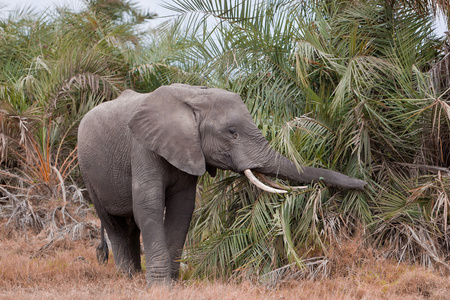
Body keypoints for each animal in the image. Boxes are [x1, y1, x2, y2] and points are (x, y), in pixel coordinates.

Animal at [77, 82, 366, 286]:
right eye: (231, 132)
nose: (364, 183)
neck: (192, 98)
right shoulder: (142, 148)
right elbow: (148, 205)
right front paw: (160, 288)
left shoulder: (188, 150)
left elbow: (183, 209)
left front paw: (172, 283)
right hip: (87, 170)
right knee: (114, 223)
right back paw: (127, 277)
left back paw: (134, 276)